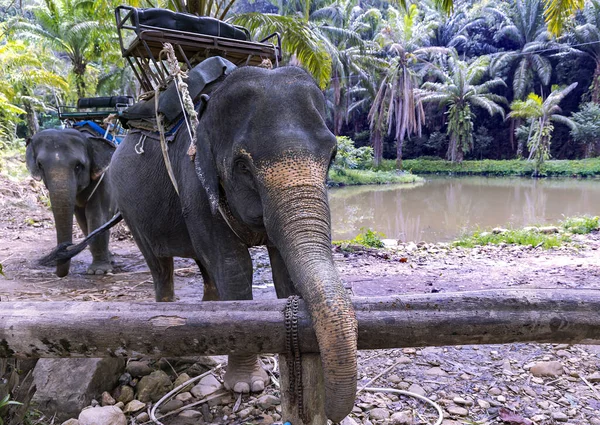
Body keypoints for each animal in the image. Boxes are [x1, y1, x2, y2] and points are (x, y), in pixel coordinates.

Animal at [26, 127, 116, 276]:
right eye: (40, 165)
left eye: (78, 166)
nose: (66, 246)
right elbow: (83, 221)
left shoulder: (104, 180)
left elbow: (97, 217)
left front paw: (98, 271)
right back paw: (111, 258)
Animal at [108, 66, 356, 420]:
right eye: (242, 166)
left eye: (332, 155)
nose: (333, 412)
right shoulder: (195, 182)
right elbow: (233, 266)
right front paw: (246, 385)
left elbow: (281, 267)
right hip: (129, 207)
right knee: (161, 266)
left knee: (204, 267)